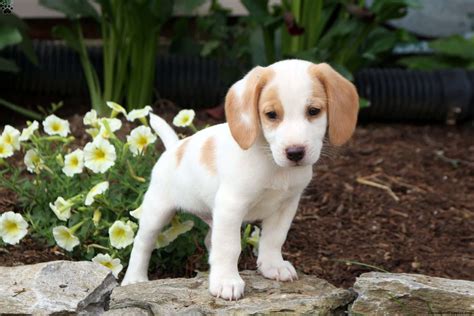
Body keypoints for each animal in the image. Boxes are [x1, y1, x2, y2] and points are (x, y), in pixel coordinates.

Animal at [120, 59, 358, 302]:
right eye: (271, 114)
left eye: (314, 111)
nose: (295, 152)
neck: (271, 163)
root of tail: (174, 148)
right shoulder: (231, 206)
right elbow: (229, 246)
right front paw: (226, 280)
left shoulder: (286, 206)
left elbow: (274, 238)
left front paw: (273, 265)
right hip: (157, 212)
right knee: (142, 244)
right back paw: (134, 279)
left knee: (210, 241)